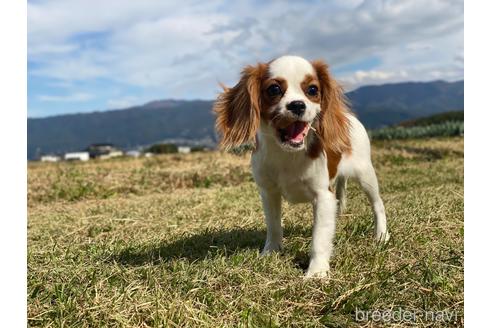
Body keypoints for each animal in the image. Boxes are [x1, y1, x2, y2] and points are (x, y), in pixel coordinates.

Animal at [213, 54, 390, 276]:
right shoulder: (268, 193)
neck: (287, 153)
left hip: (365, 174)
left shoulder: (323, 196)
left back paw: (381, 235)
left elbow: (319, 238)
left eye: (312, 90)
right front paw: (270, 253)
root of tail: (348, 117)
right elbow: (274, 226)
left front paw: (316, 272)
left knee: (378, 204)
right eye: (274, 89)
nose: (297, 105)